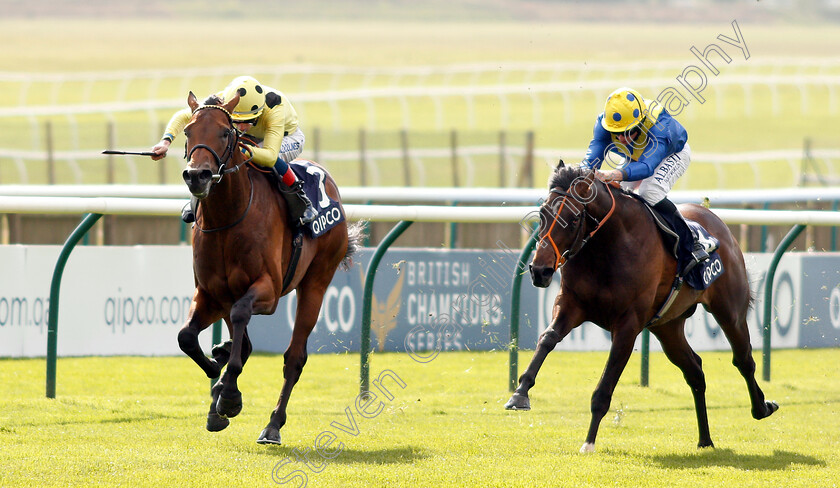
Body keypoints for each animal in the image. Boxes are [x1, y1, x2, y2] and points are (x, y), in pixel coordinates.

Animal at [177, 91, 360, 446]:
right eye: (188, 131)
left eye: (225, 132)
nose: (197, 175)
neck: (228, 217)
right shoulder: (211, 293)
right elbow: (186, 337)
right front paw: (216, 374)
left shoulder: (268, 291)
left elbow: (241, 322)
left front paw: (228, 396)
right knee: (243, 341)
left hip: (316, 283)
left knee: (294, 358)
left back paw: (273, 424)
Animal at [502, 162, 776, 452]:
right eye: (542, 214)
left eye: (574, 219)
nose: (539, 271)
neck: (607, 247)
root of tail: (718, 222)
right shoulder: (571, 304)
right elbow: (548, 338)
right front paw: (519, 394)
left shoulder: (628, 324)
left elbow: (605, 387)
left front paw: (589, 442)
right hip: (668, 326)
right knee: (695, 370)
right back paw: (705, 439)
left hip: (729, 311)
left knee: (743, 359)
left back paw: (762, 407)